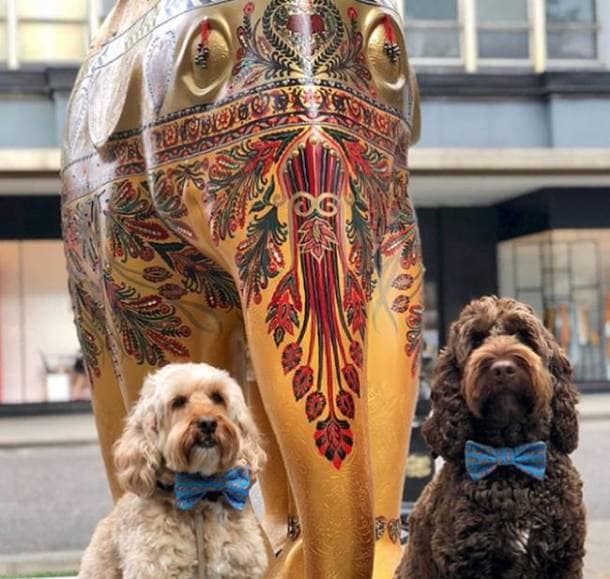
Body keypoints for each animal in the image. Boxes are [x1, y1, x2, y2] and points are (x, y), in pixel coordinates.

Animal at [394, 296, 584, 576]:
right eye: (476, 339)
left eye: (523, 335)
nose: (503, 368)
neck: (510, 455)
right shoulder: (466, 561)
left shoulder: (564, 559)